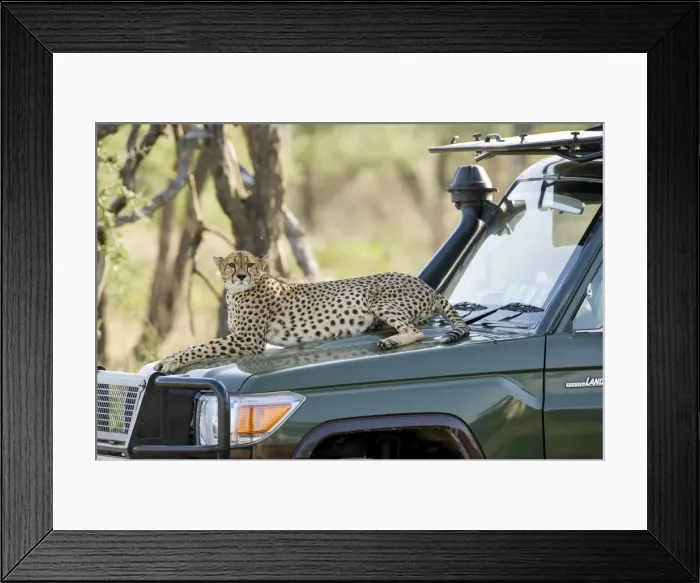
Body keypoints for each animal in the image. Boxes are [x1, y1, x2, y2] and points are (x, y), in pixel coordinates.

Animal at [154, 250, 470, 374]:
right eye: (232, 264)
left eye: (250, 265)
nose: (241, 275)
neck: (239, 292)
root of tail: (426, 284)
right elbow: (199, 345)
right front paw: (164, 359)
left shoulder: (248, 341)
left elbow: (199, 347)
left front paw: (171, 361)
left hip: (379, 299)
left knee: (415, 331)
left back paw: (391, 341)